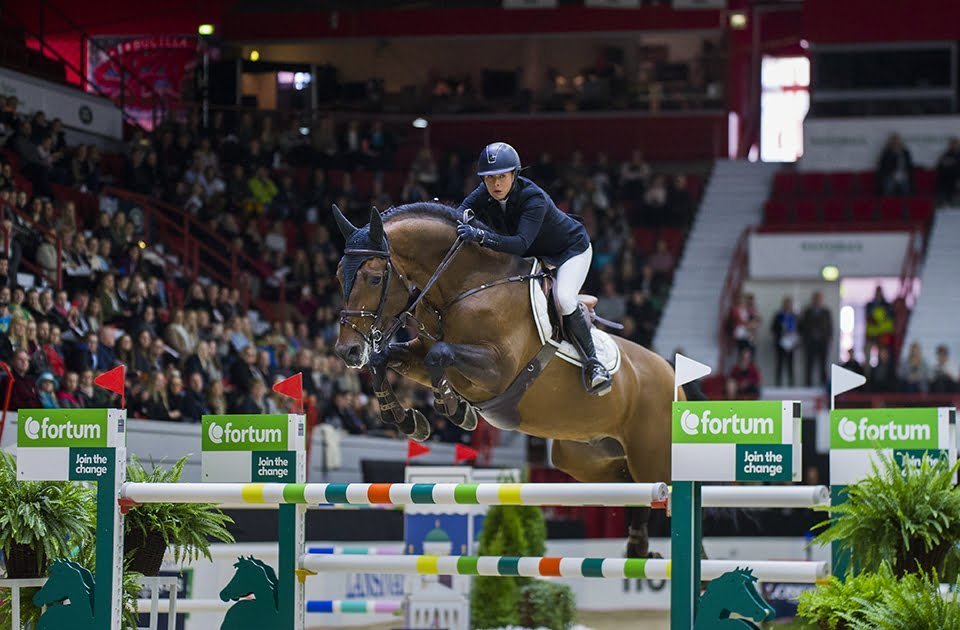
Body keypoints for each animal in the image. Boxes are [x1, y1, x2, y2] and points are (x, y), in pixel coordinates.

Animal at [333, 202, 687, 557]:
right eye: (337, 274)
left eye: (375, 277)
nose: (347, 351)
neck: (466, 286)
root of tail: (672, 376)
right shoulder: (421, 353)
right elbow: (383, 360)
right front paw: (408, 419)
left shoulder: (497, 370)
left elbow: (440, 355)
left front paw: (455, 410)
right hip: (587, 460)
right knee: (636, 493)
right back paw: (640, 549)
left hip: (653, 457)